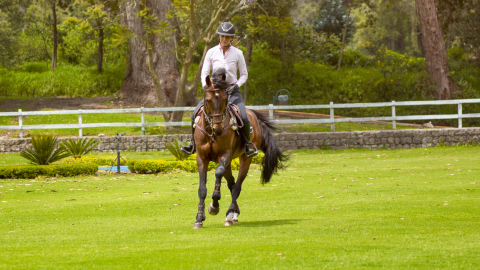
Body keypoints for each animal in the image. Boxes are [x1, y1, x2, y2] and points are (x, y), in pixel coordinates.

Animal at [191, 68, 288, 229]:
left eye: (225, 100)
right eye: (208, 100)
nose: (218, 129)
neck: (212, 132)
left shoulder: (224, 154)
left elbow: (218, 173)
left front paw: (214, 205)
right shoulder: (201, 158)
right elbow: (202, 188)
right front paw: (199, 218)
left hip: (245, 159)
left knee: (237, 186)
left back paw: (230, 214)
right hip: (230, 162)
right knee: (232, 183)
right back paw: (233, 213)